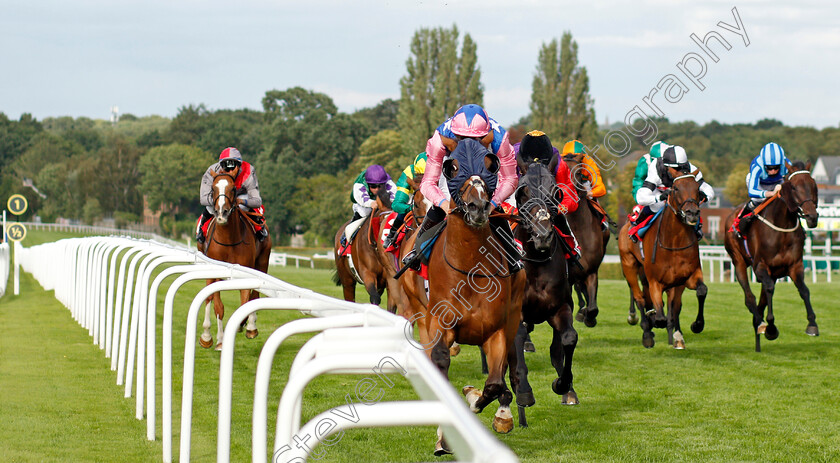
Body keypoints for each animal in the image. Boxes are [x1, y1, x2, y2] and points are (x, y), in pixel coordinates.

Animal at [200, 172, 272, 350]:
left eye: (233, 188)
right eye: (213, 188)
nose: (221, 213)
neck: (228, 240)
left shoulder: (246, 270)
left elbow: (246, 301)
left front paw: (245, 325)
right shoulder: (215, 272)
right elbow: (218, 306)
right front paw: (218, 340)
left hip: (262, 261)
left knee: (255, 294)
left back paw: (250, 325)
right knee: (209, 298)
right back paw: (208, 336)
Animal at [420, 139, 524, 456]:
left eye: (489, 165)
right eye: (453, 168)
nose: (478, 207)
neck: (470, 269)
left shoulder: (496, 331)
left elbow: (493, 384)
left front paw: (474, 398)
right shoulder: (439, 323)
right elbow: (440, 362)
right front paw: (444, 438)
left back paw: (504, 413)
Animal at [616, 169, 708, 348]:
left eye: (697, 188)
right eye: (676, 188)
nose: (692, 213)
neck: (674, 242)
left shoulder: (687, 277)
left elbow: (699, 292)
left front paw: (696, 325)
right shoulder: (655, 282)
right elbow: (660, 315)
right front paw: (655, 322)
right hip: (629, 264)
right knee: (639, 298)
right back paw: (646, 333)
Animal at [724, 161, 816, 354]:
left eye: (812, 184)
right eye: (793, 187)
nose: (812, 217)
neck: (782, 227)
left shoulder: (795, 266)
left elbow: (804, 290)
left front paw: (812, 324)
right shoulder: (760, 267)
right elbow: (769, 290)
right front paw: (771, 328)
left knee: (760, 303)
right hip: (738, 261)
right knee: (750, 298)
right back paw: (761, 324)